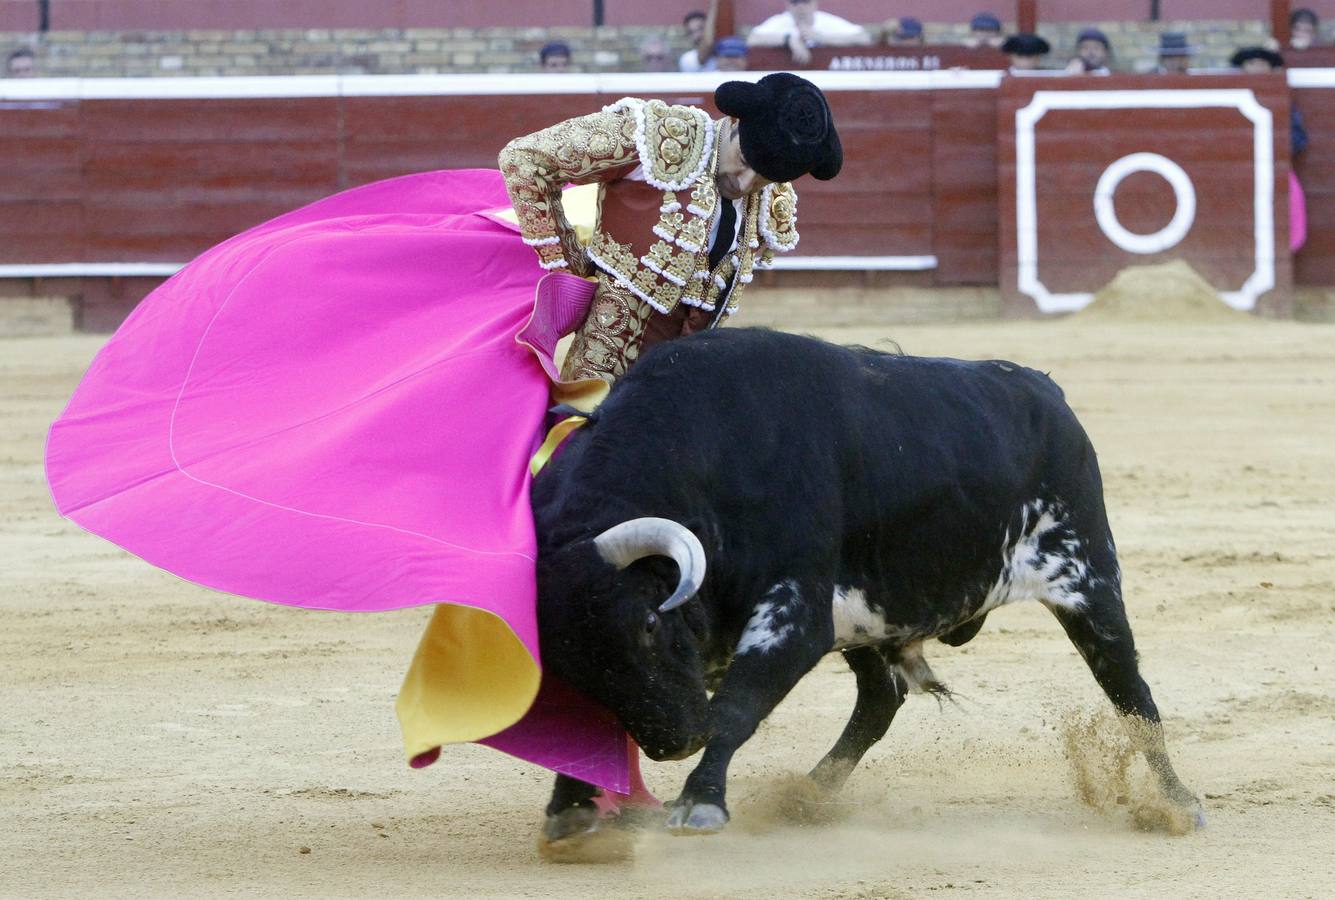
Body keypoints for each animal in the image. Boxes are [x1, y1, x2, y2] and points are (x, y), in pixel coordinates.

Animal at [528, 327, 1201, 843]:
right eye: (563, 662)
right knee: (880, 700)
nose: (674, 742)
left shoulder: (795, 616)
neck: (701, 458)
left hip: (1087, 577)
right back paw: (807, 794)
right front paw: (571, 809)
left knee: (1130, 691)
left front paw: (700, 802)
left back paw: (1178, 804)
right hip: (871, 621)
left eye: (647, 623)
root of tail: (1045, 389)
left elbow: (737, 706)